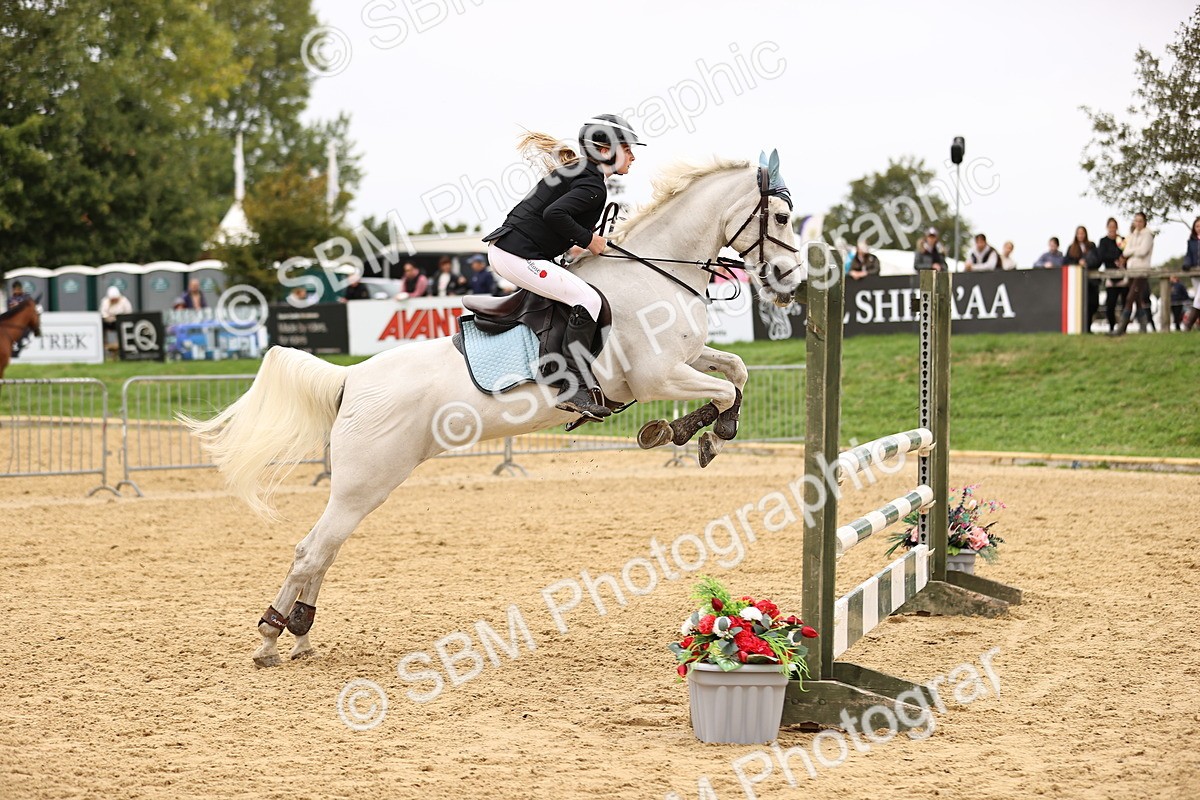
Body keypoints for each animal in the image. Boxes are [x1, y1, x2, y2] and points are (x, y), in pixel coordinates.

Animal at [185, 155, 809, 667]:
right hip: (365, 482)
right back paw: (271, 636)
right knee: (311, 549)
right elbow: (721, 390)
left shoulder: (686, 359)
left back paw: (298, 632)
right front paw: (682, 432)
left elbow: (736, 372)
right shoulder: (658, 374)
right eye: (780, 218)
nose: (792, 281)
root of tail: (351, 377)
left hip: (365, 486)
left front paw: (709, 433)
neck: (655, 272)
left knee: (324, 549)